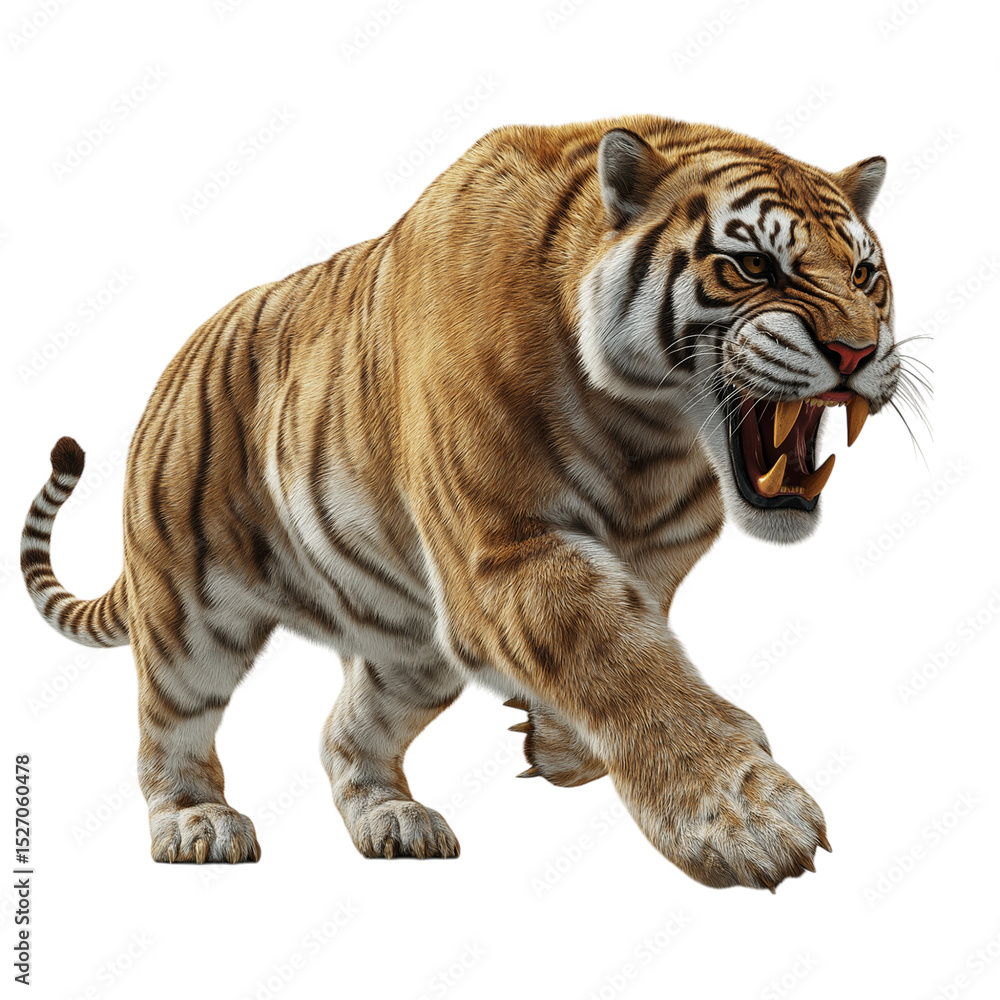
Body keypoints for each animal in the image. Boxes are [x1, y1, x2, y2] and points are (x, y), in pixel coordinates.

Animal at [20, 114, 917, 890]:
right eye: (755, 267)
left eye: (866, 276)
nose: (857, 351)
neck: (651, 435)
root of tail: (178, 358)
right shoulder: (504, 548)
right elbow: (623, 659)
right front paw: (744, 816)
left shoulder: (652, 559)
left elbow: (633, 641)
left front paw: (562, 745)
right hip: (190, 616)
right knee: (169, 725)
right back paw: (196, 823)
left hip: (411, 657)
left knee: (345, 731)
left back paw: (394, 819)